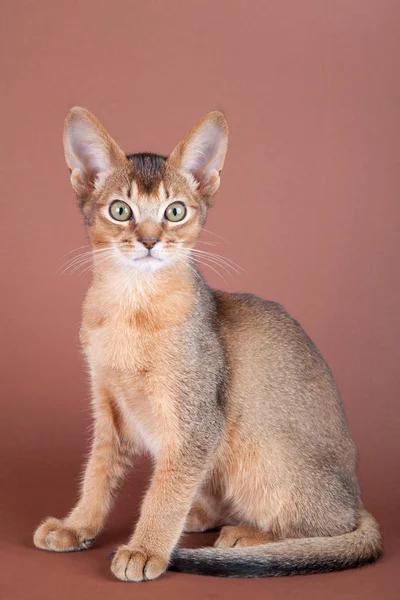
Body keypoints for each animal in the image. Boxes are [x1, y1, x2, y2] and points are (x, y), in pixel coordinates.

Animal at [32, 105, 382, 580]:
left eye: (175, 211)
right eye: (120, 210)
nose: (149, 240)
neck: (131, 307)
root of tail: (357, 498)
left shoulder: (197, 422)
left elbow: (164, 493)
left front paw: (145, 549)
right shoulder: (109, 406)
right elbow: (98, 473)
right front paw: (77, 525)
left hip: (256, 447)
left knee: (325, 527)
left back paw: (248, 535)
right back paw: (201, 517)